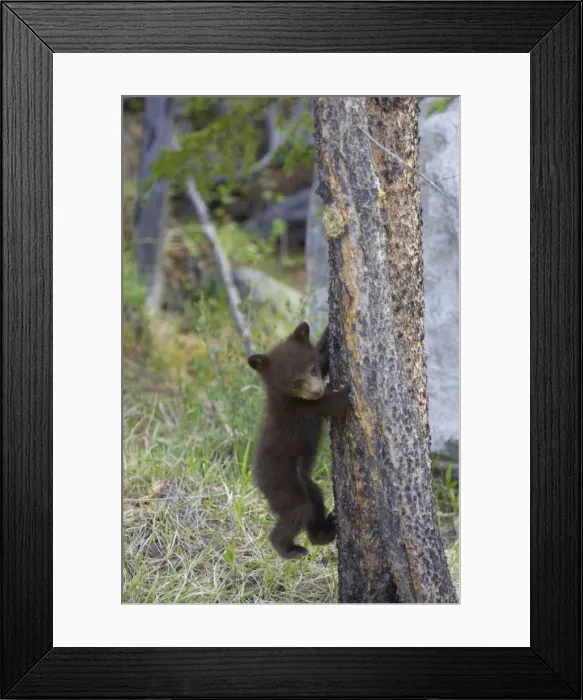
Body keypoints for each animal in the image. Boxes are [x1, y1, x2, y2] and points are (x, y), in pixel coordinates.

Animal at [247, 321, 351, 559]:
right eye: (295, 382)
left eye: (312, 369)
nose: (317, 390)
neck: (286, 397)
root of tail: (259, 481)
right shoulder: (301, 409)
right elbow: (331, 405)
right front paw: (344, 394)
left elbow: (324, 357)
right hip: (283, 486)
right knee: (297, 511)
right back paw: (289, 549)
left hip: (305, 483)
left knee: (315, 500)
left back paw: (324, 531)